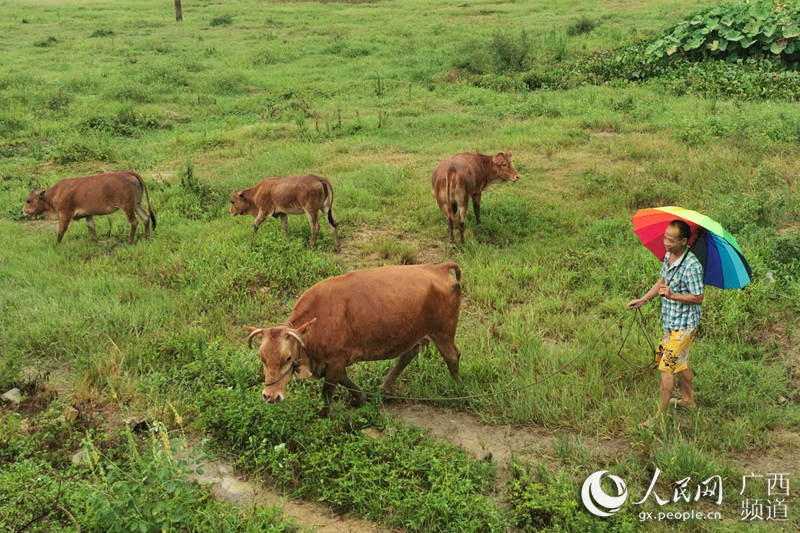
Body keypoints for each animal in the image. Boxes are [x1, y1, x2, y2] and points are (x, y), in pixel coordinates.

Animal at [21, 171, 156, 244]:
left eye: (28, 200)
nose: (22, 211)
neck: (53, 195)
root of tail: (129, 173)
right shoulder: (88, 214)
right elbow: (92, 228)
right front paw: (97, 242)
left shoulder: (65, 214)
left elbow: (60, 231)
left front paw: (56, 245)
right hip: (136, 204)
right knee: (146, 217)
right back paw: (147, 238)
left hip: (127, 207)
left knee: (134, 222)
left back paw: (130, 242)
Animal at [242, 262, 462, 416]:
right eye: (262, 358)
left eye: (287, 358)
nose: (270, 396)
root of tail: (438, 267)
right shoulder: (332, 361)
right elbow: (344, 380)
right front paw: (362, 398)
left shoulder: (336, 360)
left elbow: (327, 390)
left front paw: (323, 415)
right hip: (414, 333)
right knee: (408, 355)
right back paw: (384, 388)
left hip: (443, 332)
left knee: (453, 356)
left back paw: (457, 388)